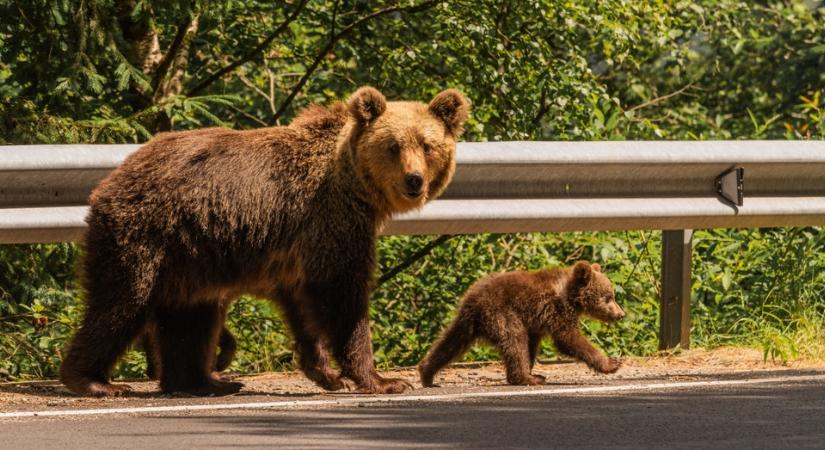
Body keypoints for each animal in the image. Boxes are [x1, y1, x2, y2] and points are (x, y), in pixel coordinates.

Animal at [60, 88, 466, 398]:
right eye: (393, 146)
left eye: (427, 145)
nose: (414, 180)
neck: (354, 185)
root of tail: (111, 178)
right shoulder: (333, 222)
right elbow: (342, 295)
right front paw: (382, 379)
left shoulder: (298, 248)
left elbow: (302, 305)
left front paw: (326, 374)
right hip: (145, 236)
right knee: (122, 302)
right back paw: (95, 381)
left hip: (190, 254)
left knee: (192, 315)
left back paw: (206, 382)